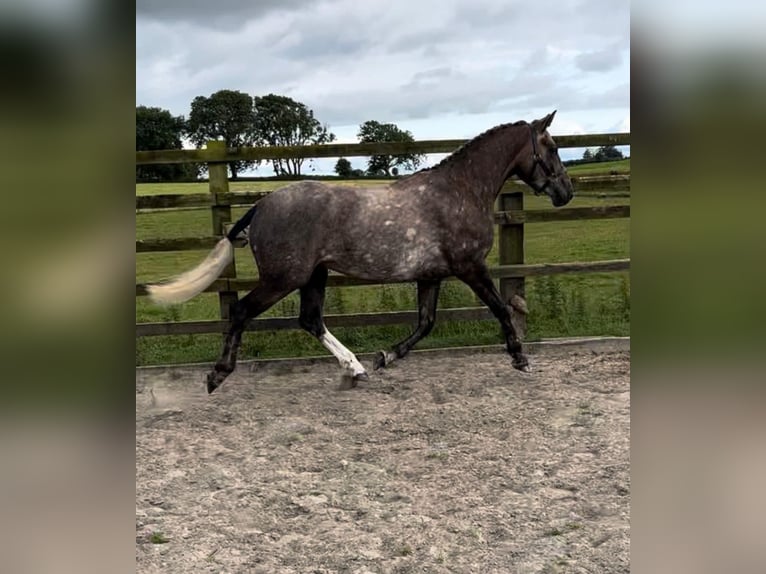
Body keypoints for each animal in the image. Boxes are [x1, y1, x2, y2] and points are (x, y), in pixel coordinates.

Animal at [146, 111, 576, 396]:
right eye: (552, 147)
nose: (566, 192)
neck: (460, 191)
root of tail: (261, 206)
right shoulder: (470, 266)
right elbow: (501, 308)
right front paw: (520, 358)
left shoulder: (431, 275)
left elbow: (426, 323)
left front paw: (385, 357)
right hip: (284, 278)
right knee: (241, 311)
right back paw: (217, 375)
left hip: (314, 276)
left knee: (310, 320)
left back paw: (354, 369)